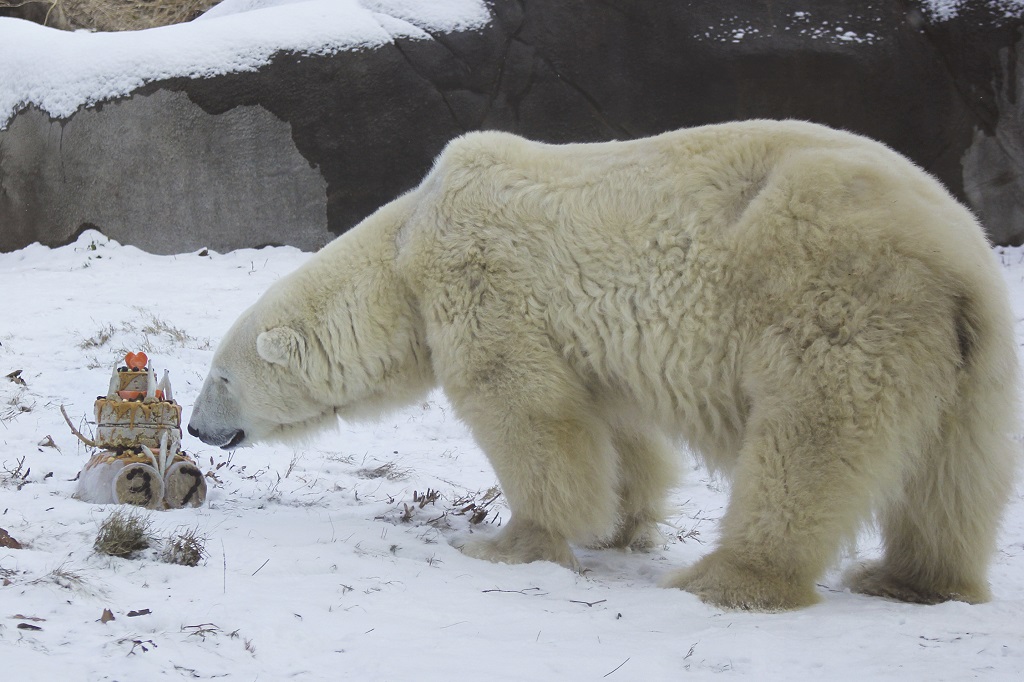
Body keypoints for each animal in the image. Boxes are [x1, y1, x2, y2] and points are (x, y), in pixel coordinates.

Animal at [188, 119, 1019, 606]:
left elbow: (524, 410)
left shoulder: (483, 281)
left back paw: (730, 577)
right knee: (955, 474)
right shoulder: (589, 342)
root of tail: (958, 261)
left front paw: (511, 543)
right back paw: (910, 579)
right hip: (967, 355)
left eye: (221, 377)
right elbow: (615, 429)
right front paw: (621, 524)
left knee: (808, 446)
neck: (402, 249)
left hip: (837, 305)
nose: (196, 428)